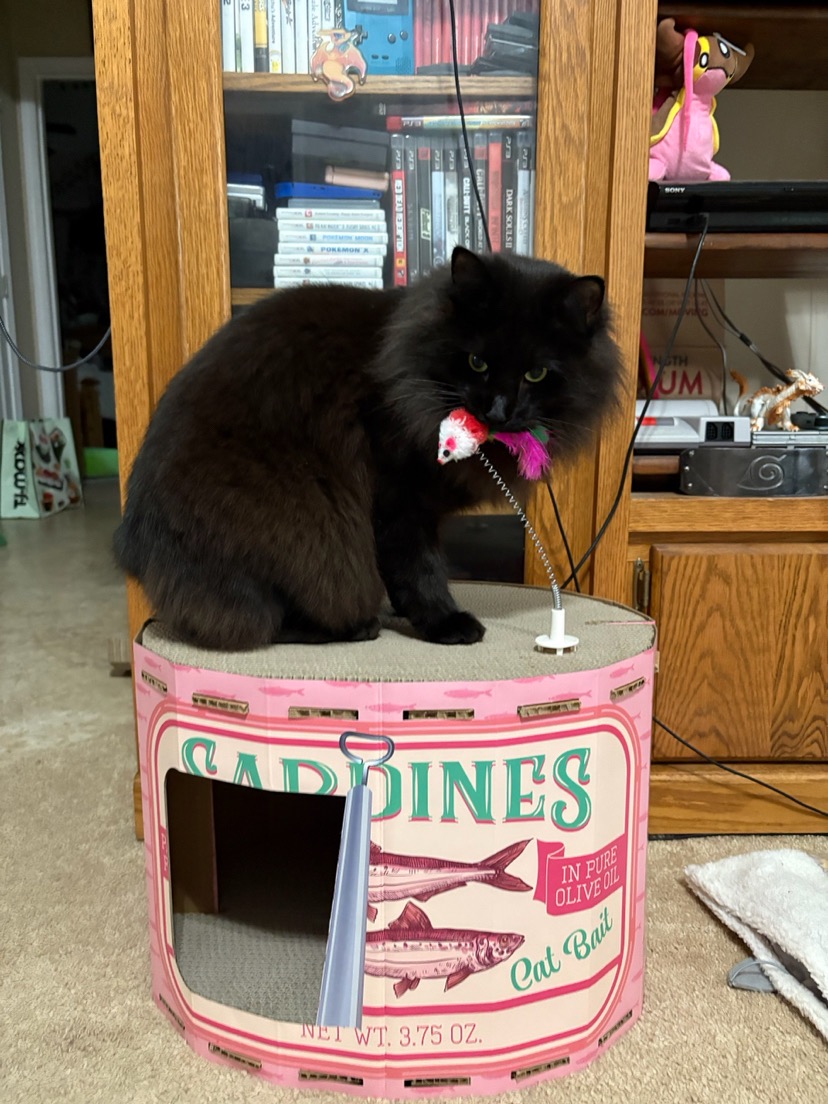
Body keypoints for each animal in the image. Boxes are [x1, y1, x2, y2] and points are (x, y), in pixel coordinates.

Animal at [114, 246, 622, 651]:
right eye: (477, 362)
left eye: (536, 373)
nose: (497, 409)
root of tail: (136, 539)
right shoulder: (398, 498)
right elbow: (419, 569)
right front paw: (444, 623)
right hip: (311, 532)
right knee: (262, 619)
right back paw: (359, 626)